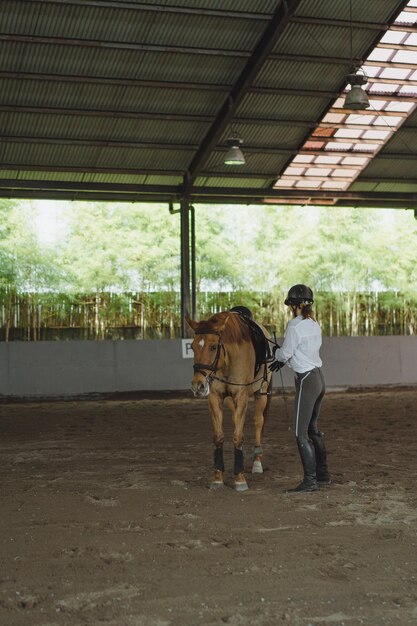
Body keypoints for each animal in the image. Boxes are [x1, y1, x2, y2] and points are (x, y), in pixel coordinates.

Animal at [186, 310, 272, 490]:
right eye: (192, 347)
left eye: (213, 347)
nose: (197, 386)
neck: (227, 359)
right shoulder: (214, 397)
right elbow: (219, 437)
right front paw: (218, 478)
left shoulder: (241, 395)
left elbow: (238, 436)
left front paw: (240, 479)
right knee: (235, 420)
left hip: (262, 392)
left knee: (258, 421)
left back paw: (257, 463)